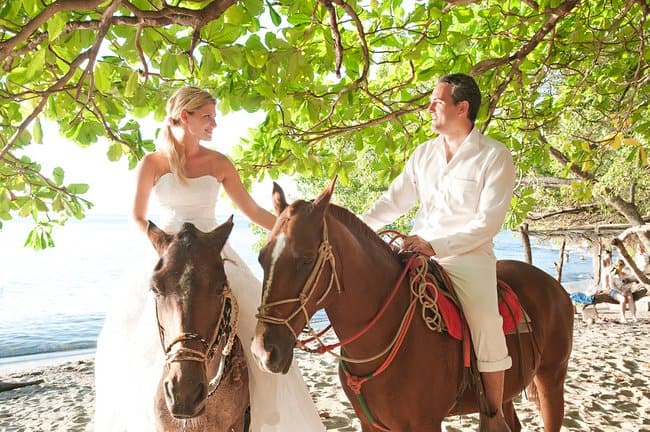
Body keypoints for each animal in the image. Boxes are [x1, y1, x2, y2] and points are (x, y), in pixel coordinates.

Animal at [251, 181, 568, 432]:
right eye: (261, 257)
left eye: (305, 259)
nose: (263, 352)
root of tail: (555, 288)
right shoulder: (370, 425)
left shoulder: (425, 424)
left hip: (551, 381)